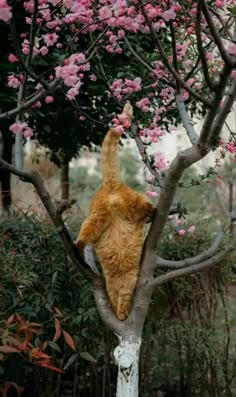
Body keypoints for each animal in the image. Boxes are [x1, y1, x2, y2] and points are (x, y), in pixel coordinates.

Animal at [74, 103, 155, 320]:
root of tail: (109, 185)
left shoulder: (124, 281)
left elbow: (122, 298)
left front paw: (121, 314)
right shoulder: (126, 281)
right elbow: (123, 298)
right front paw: (121, 314)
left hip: (97, 217)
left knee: (86, 231)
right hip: (120, 208)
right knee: (145, 205)